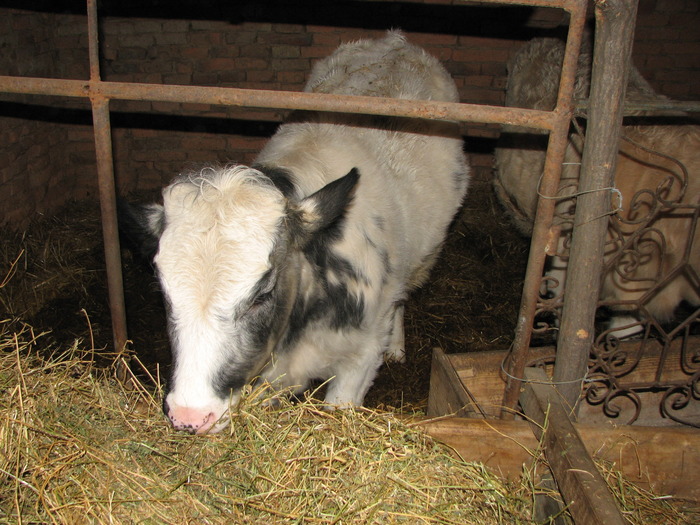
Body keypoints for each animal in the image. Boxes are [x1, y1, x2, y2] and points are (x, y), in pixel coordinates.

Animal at [120, 32, 470, 434]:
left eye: (262, 294)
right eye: (164, 293)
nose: (190, 415)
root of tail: (394, 42)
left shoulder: (360, 357)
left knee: (401, 296)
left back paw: (396, 345)